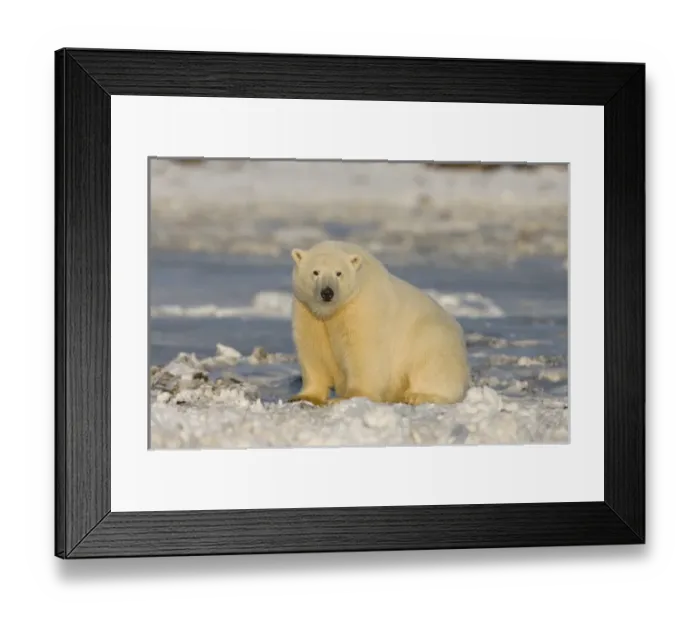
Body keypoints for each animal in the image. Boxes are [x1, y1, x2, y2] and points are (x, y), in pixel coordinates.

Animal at [287, 240, 470, 407]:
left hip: (433, 337)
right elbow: (312, 350)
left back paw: (417, 395)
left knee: (433, 365)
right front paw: (303, 396)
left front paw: (347, 397)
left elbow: (362, 351)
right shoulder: (307, 311)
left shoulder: (362, 306)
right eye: (315, 272)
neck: (333, 312)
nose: (327, 292)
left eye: (339, 273)